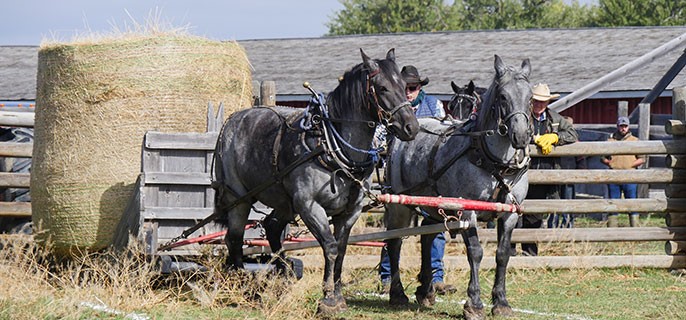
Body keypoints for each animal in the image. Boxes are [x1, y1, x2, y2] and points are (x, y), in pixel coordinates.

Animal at [215, 48, 422, 314]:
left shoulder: (350, 211)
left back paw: (283, 277)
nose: (411, 127)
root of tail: (231, 120)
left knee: (271, 228)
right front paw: (328, 299)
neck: (330, 146)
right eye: (383, 88)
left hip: (284, 202)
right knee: (234, 238)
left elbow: (341, 250)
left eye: (404, 86)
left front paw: (338, 296)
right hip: (239, 198)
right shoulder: (310, 206)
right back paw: (244, 287)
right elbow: (330, 247)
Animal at [384, 55, 536, 320]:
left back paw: (426, 291)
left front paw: (501, 302)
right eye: (503, 96)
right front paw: (474, 303)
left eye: (530, 97)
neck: (494, 162)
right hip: (399, 205)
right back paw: (398, 293)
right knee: (395, 242)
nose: (520, 136)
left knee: (428, 237)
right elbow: (475, 252)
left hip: (433, 204)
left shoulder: (509, 214)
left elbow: (502, 254)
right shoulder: (467, 211)